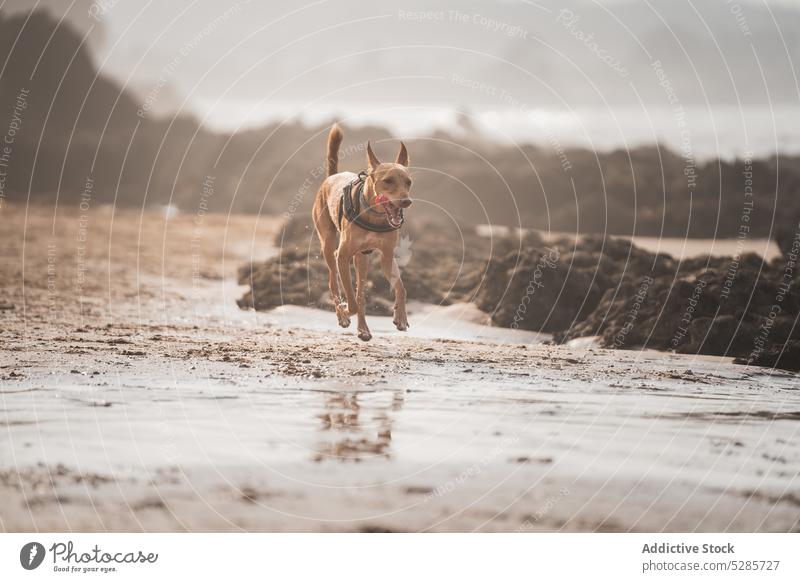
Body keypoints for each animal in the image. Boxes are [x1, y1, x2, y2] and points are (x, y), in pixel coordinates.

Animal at [310, 123, 412, 342]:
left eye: (408, 182)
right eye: (388, 181)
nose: (406, 201)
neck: (375, 214)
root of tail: (331, 176)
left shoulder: (387, 257)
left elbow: (401, 288)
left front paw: (400, 317)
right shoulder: (342, 256)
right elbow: (351, 300)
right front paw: (345, 312)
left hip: (362, 258)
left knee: (360, 293)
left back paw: (363, 329)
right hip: (329, 246)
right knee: (334, 284)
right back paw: (343, 315)